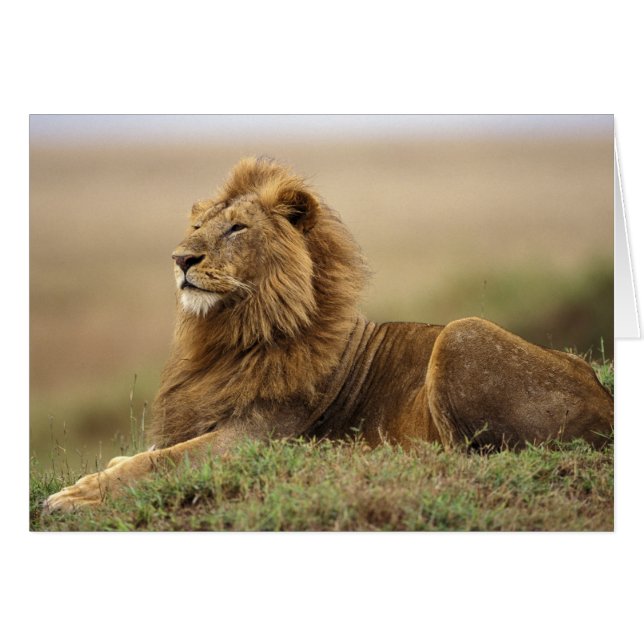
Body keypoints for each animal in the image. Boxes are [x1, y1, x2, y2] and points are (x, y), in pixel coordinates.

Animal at [44, 157, 614, 513]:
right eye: (199, 227)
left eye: (237, 228)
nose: (181, 259)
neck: (230, 335)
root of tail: (605, 397)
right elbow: (137, 456)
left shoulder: (255, 437)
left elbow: (157, 463)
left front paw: (72, 497)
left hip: (462, 332)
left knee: (465, 456)